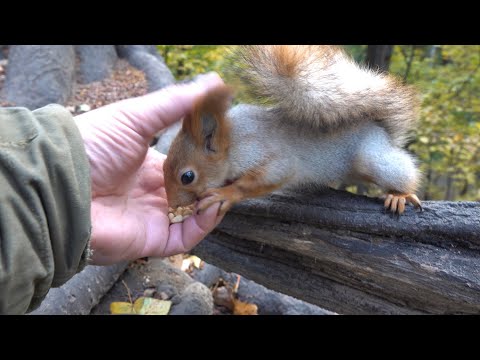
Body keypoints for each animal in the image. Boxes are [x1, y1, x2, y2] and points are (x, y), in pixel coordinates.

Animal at [163, 43, 422, 215]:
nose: (172, 204)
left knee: (402, 173)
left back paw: (400, 195)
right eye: (164, 165)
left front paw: (225, 194)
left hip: (373, 158)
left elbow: (265, 177)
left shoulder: (265, 153)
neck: (233, 140)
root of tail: (380, 129)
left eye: (187, 177)